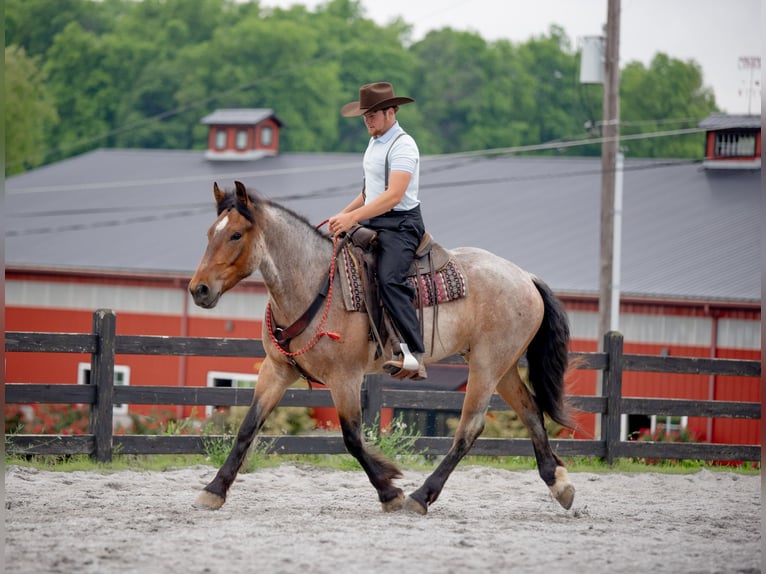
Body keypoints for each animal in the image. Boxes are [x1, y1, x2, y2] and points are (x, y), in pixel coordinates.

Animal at [190, 181, 576, 516]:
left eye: (236, 234)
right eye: (209, 233)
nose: (199, 289)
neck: (314, 284)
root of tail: (525, 277)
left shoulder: (345, 378)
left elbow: (352, 438)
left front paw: (390, 490)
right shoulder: (277, 370)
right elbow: (247, 428)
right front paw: (214, 490)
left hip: (486, 366)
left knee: (470, 429)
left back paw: (421, 496)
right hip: (502, 366)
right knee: (530, 411)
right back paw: (559, 484)